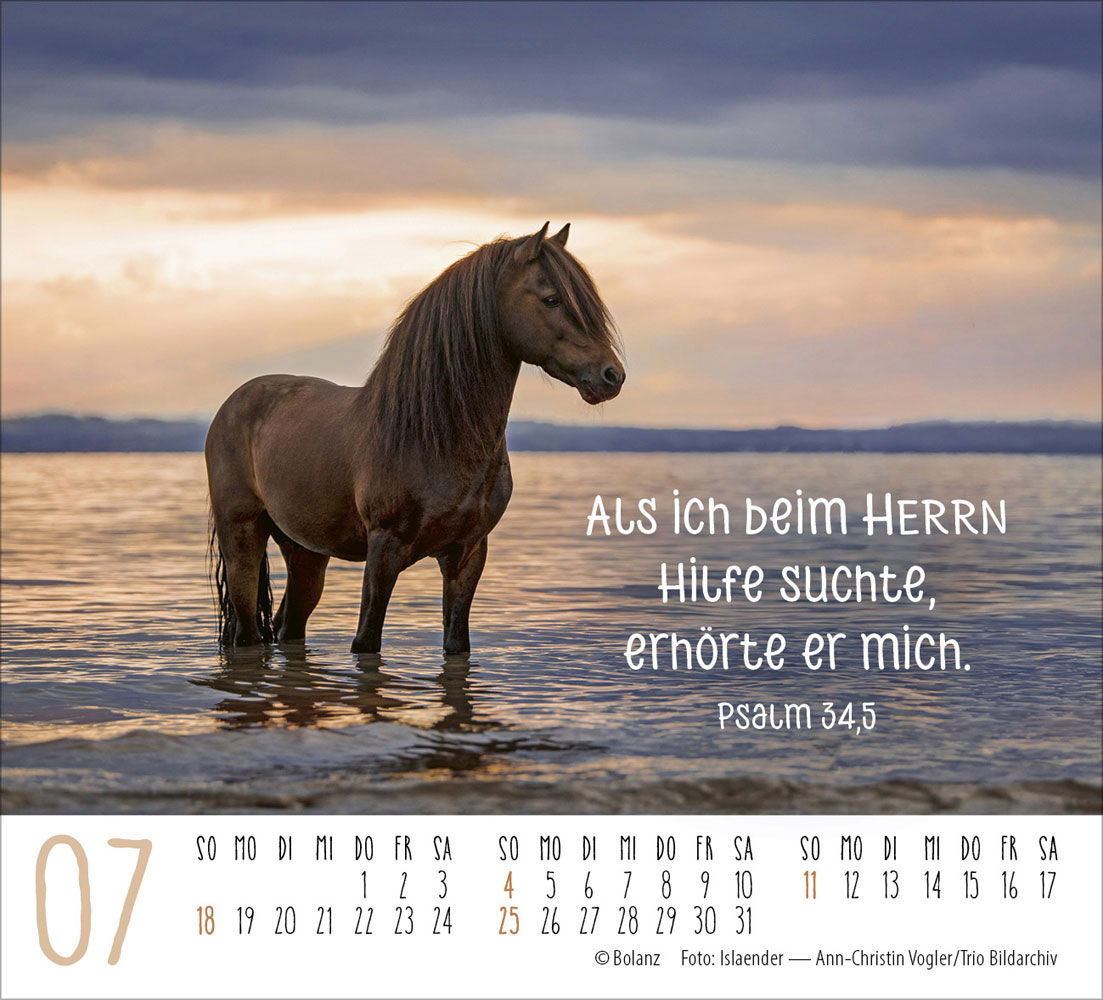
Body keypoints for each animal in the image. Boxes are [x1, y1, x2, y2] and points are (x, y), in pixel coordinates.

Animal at [206, 222, 624, 654]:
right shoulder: (384, 550)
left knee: (288, 624)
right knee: (248, 632)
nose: (612, 376)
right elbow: (366, 641)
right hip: (242, 538)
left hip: (305, 551)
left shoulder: (467, 555)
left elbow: (456, 641)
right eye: (552, 299)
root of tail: (234, 403)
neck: (436, 438)